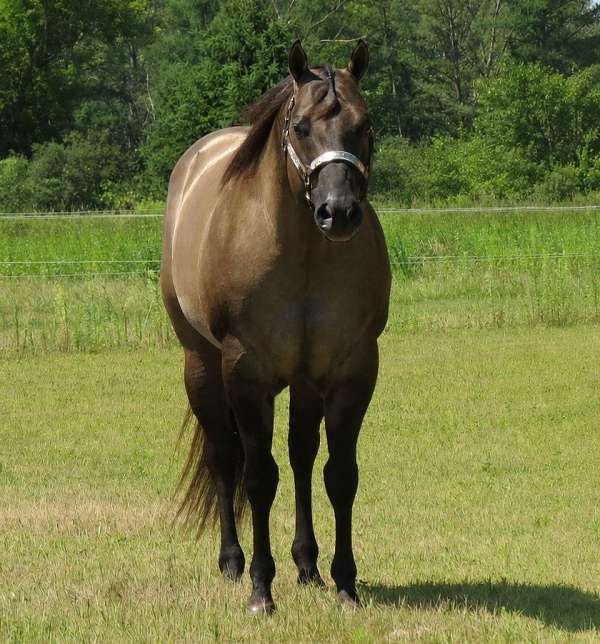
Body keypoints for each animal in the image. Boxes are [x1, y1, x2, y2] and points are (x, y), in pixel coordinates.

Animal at [160, 39, 391, 614]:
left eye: (365, 124)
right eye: (302, 126)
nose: (339, 212)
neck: (304, 253)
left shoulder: (352, 371)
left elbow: (339, 475)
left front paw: (346, 583)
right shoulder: (247, 374)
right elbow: (258, 476)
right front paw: (262, 590)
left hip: (305, 383)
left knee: (302, 458)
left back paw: (307, 564)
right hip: (201, 366)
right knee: (225, 459)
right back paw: (233, 563)